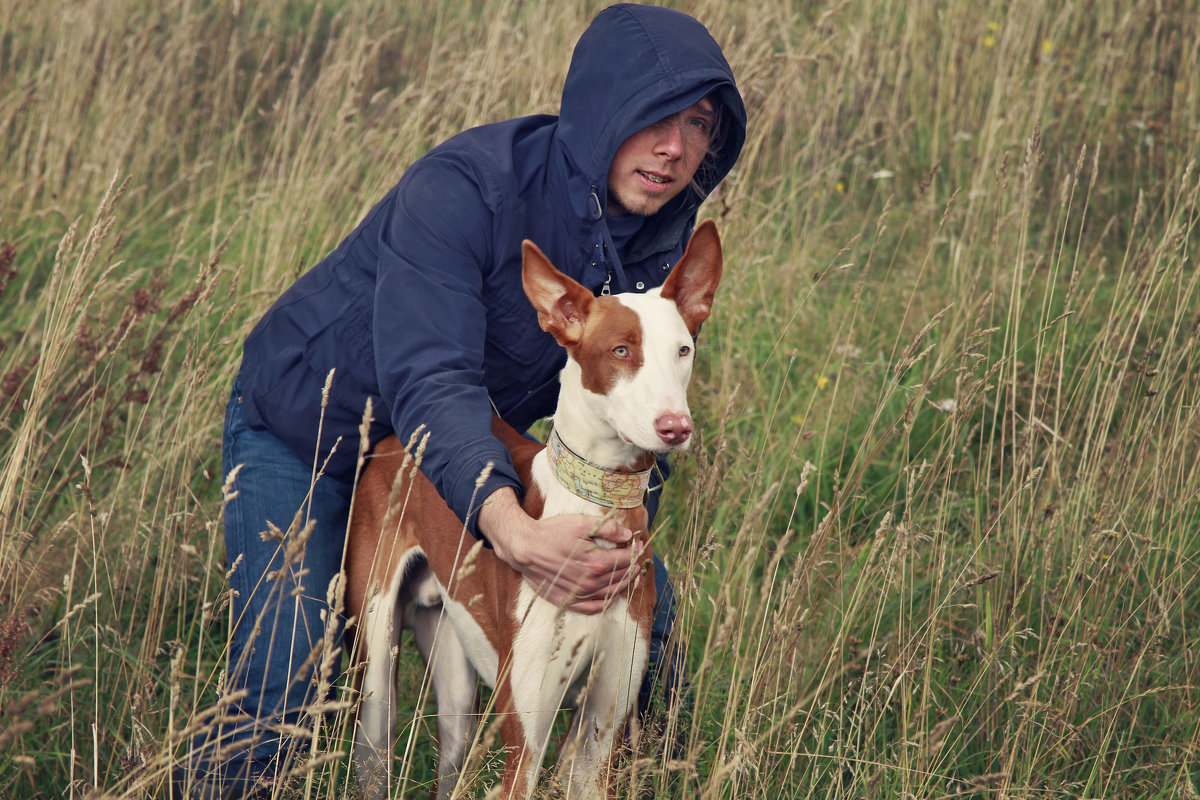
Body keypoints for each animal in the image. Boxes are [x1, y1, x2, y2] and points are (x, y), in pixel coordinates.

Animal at [343, 219, 724, 800]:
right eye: (620, 350)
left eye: (683, 350)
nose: (675, 427)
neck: (595, 504)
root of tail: (395, 435)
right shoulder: (523, 741)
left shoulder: (598, 737)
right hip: (375, 677)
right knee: (373, 743)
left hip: (455, 681)